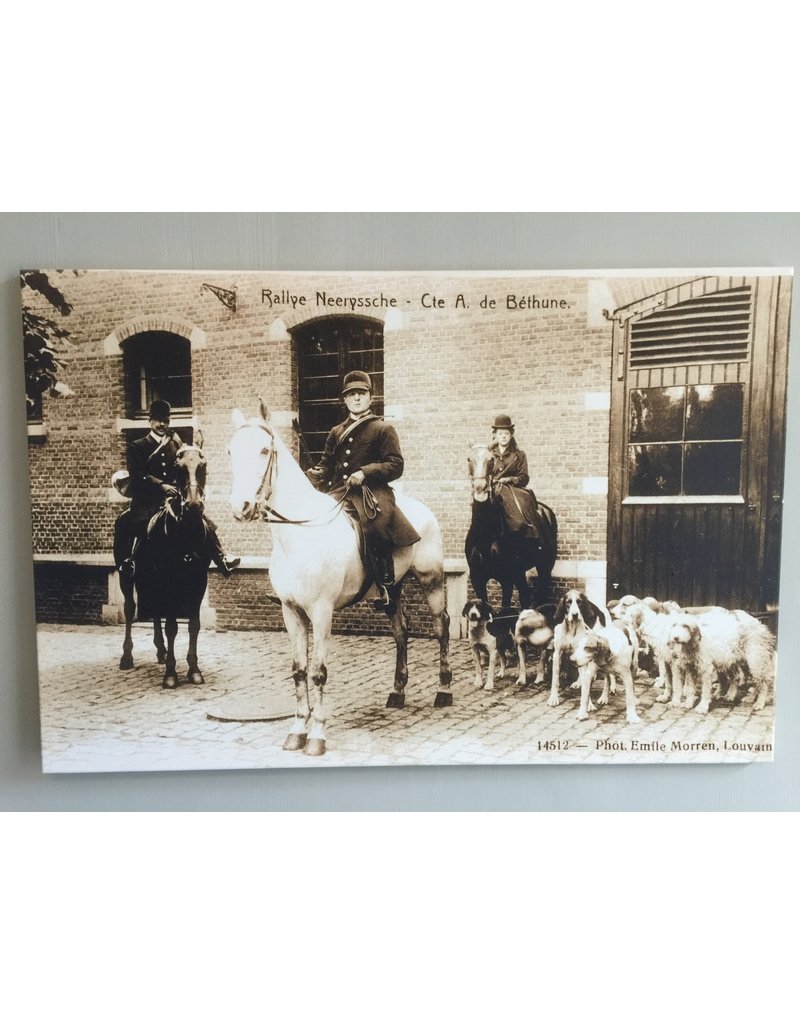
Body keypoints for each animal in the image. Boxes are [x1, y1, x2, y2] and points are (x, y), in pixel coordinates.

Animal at [115, 432, 211, 688]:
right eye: (178, 467)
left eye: (203, 465)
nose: (194, 505)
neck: (185, 532)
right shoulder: (168, 581)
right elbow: (172, 627)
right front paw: (171, 674)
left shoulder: (198, 581)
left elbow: (194, 626)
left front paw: (194, 670)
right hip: (126, 576)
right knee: (130, 609)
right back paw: (127, 657)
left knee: (155, 611)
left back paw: (161, 651)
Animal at [227, 397, 452, 753]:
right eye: (231, 451)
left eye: (264, 450)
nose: (241, 507)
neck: (299, 535)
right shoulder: (291, 611)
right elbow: (299, 670)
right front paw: (296, 730)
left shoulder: (321, 612)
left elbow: (318, 671)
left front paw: (317, 735)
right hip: (394, 587)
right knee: (401, 631)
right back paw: (398, 691)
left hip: (431, 580)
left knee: (441, 627)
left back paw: (443, 690)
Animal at [465, 440, 557, 606]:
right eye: (469, 459)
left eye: (491, 460)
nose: (480, 489)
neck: (486, 533)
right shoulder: (477, 580)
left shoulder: (507, 578)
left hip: (545, 565)